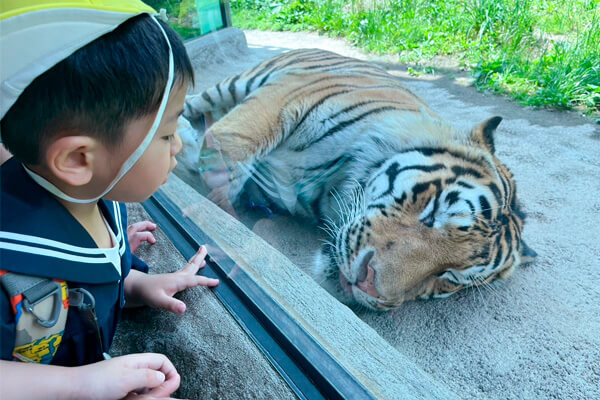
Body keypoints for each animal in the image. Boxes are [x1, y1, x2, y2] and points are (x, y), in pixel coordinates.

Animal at [180, 48, 536, 310]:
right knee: (192, 102)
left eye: (449, 276)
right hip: (236, 83)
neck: (329, 187)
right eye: (434, 213)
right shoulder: (279, 102)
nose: (367, 284)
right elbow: (228, 150)